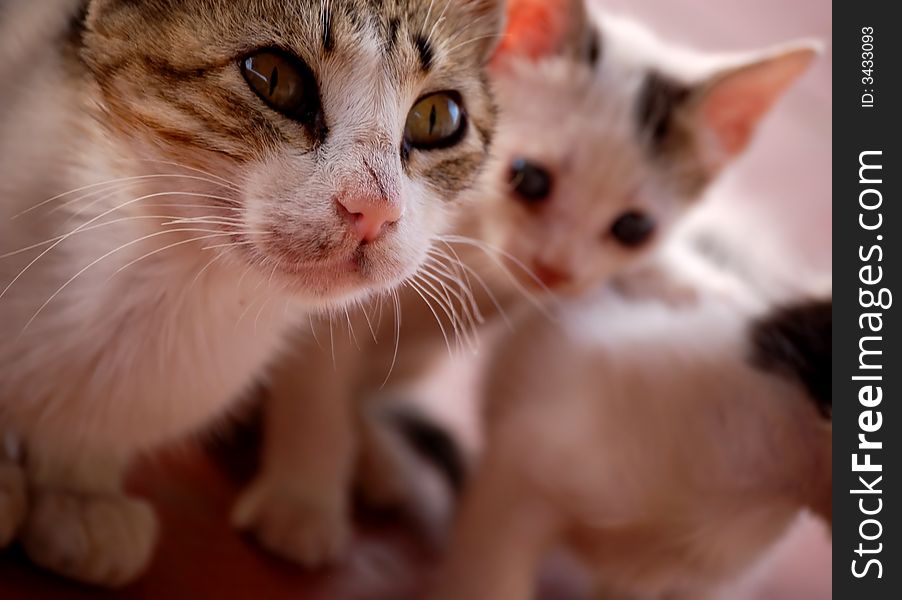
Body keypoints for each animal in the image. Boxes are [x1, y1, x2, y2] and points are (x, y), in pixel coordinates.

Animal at [238, 0, 820, 568]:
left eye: (634, 228)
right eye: (530, 179)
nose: (555, 268)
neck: (471, 245)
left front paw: (712, 286)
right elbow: (317, 381)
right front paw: (303, 501)